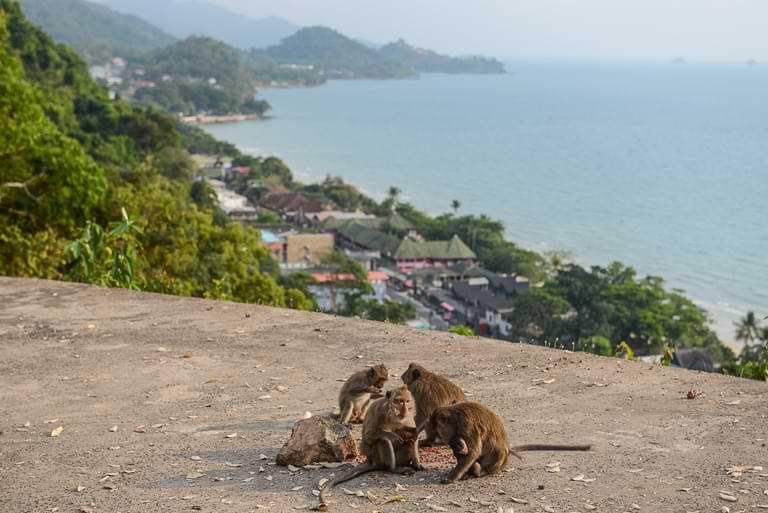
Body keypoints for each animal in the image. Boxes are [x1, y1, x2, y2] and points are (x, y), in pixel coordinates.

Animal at [427, 402, 591, 484]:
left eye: (438, 431)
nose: (437, 439)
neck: (455, 418)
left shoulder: (466, 426)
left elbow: (473, 452)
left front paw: (452, 477)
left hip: (499, 461)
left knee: (497, 451)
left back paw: (480, 471)